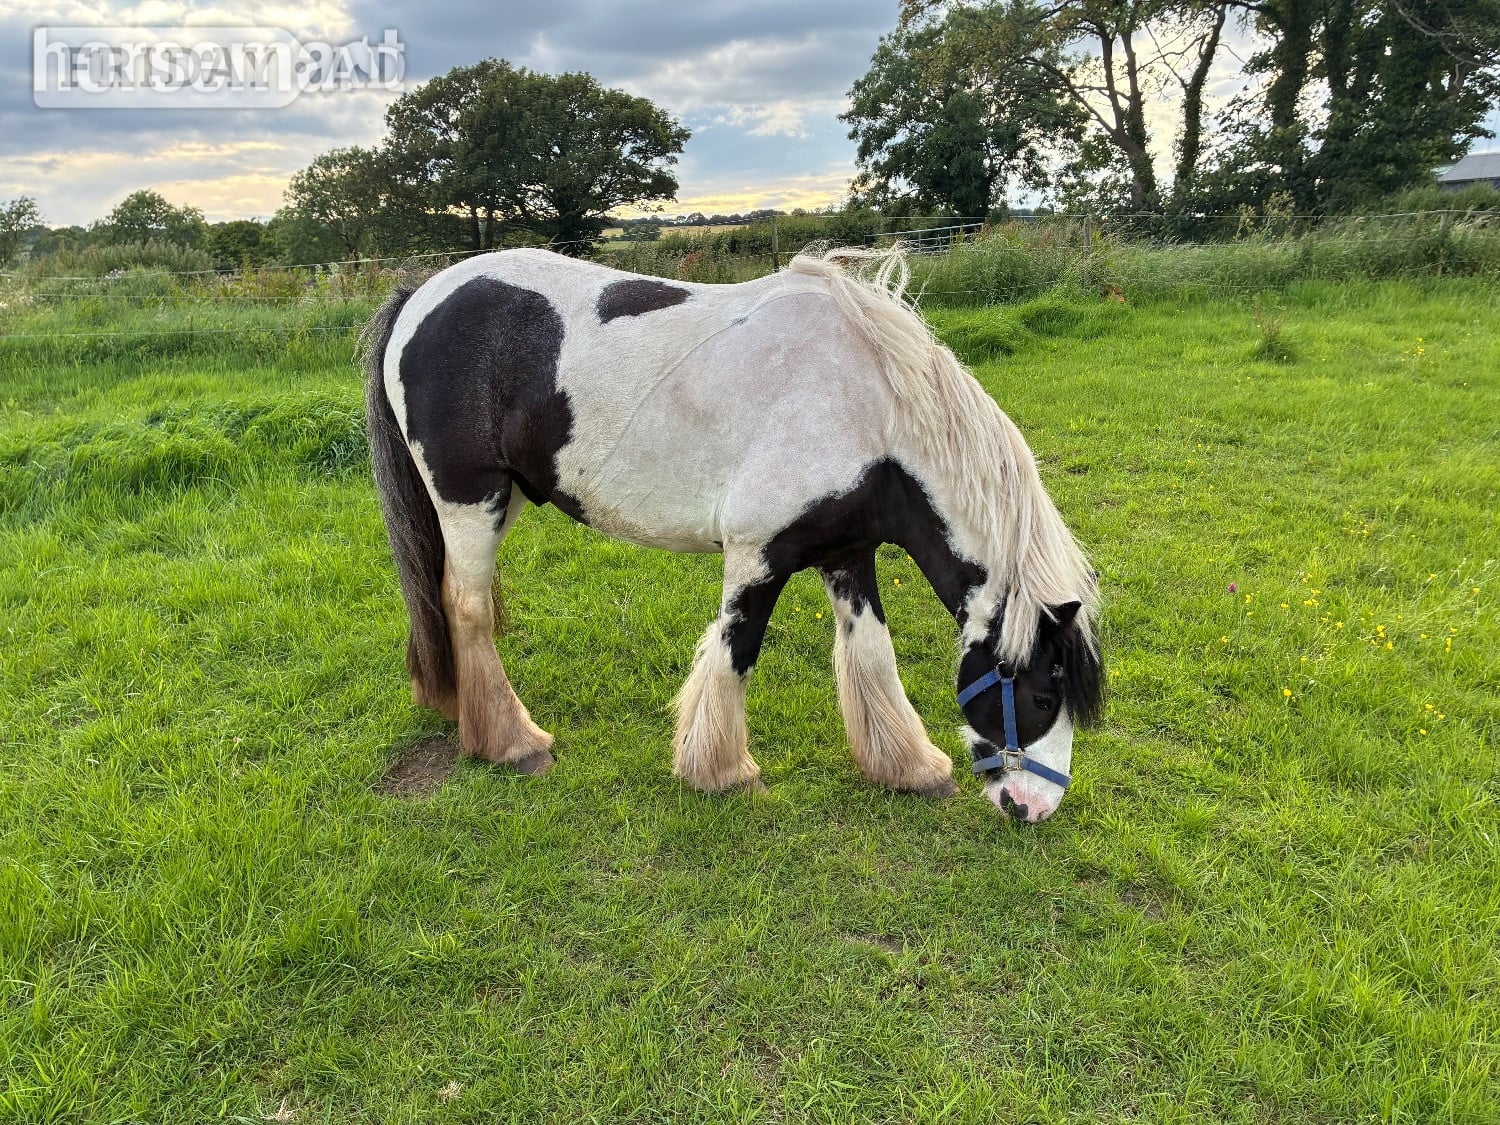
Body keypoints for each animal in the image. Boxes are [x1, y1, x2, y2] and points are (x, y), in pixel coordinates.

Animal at [362, 245, 1103, 823]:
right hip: (471, 498)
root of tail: (417, 297)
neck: (865, 406)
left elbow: (870, 655)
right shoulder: (758, 555)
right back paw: (512, 742)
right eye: (1043, 694)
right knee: (467, 606)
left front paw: (909, 767)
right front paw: (720, 771)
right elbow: (735, 650)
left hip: (508, 495)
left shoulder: (848, 552)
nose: (1033, 808)